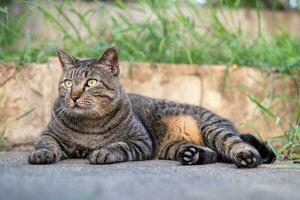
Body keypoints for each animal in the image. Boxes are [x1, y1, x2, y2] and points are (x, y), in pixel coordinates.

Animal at [27, 47, 274, 168]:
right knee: (213, 154)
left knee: (235, 144)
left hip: (214, 129)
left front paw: (103, 151)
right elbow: (46, 143)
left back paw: (246, 157)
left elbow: (118, 145)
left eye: (91, 83)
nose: (74, 96)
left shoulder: (140, 141)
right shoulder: (49, 134)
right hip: (172, 147)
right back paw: (192, 155)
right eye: (68, 83)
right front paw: (41, 154)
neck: (89, 125)